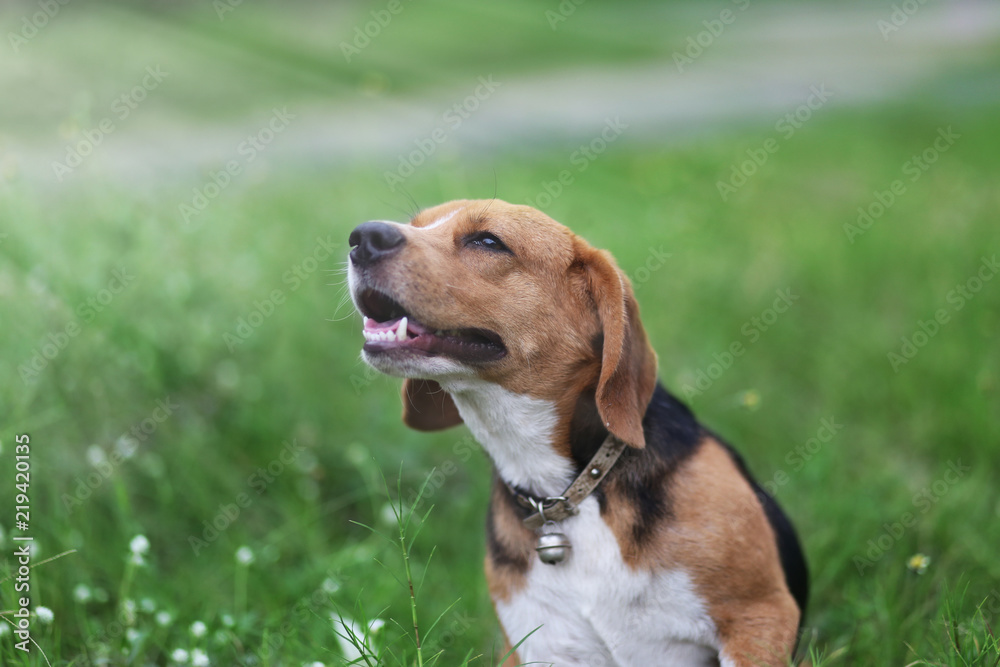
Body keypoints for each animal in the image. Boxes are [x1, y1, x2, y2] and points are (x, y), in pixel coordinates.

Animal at [348, 200, 808, 667]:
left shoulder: (758, 617)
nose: (363, 237)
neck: (568, 493)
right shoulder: (542, 647)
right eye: (416, 223)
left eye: (488, 241)